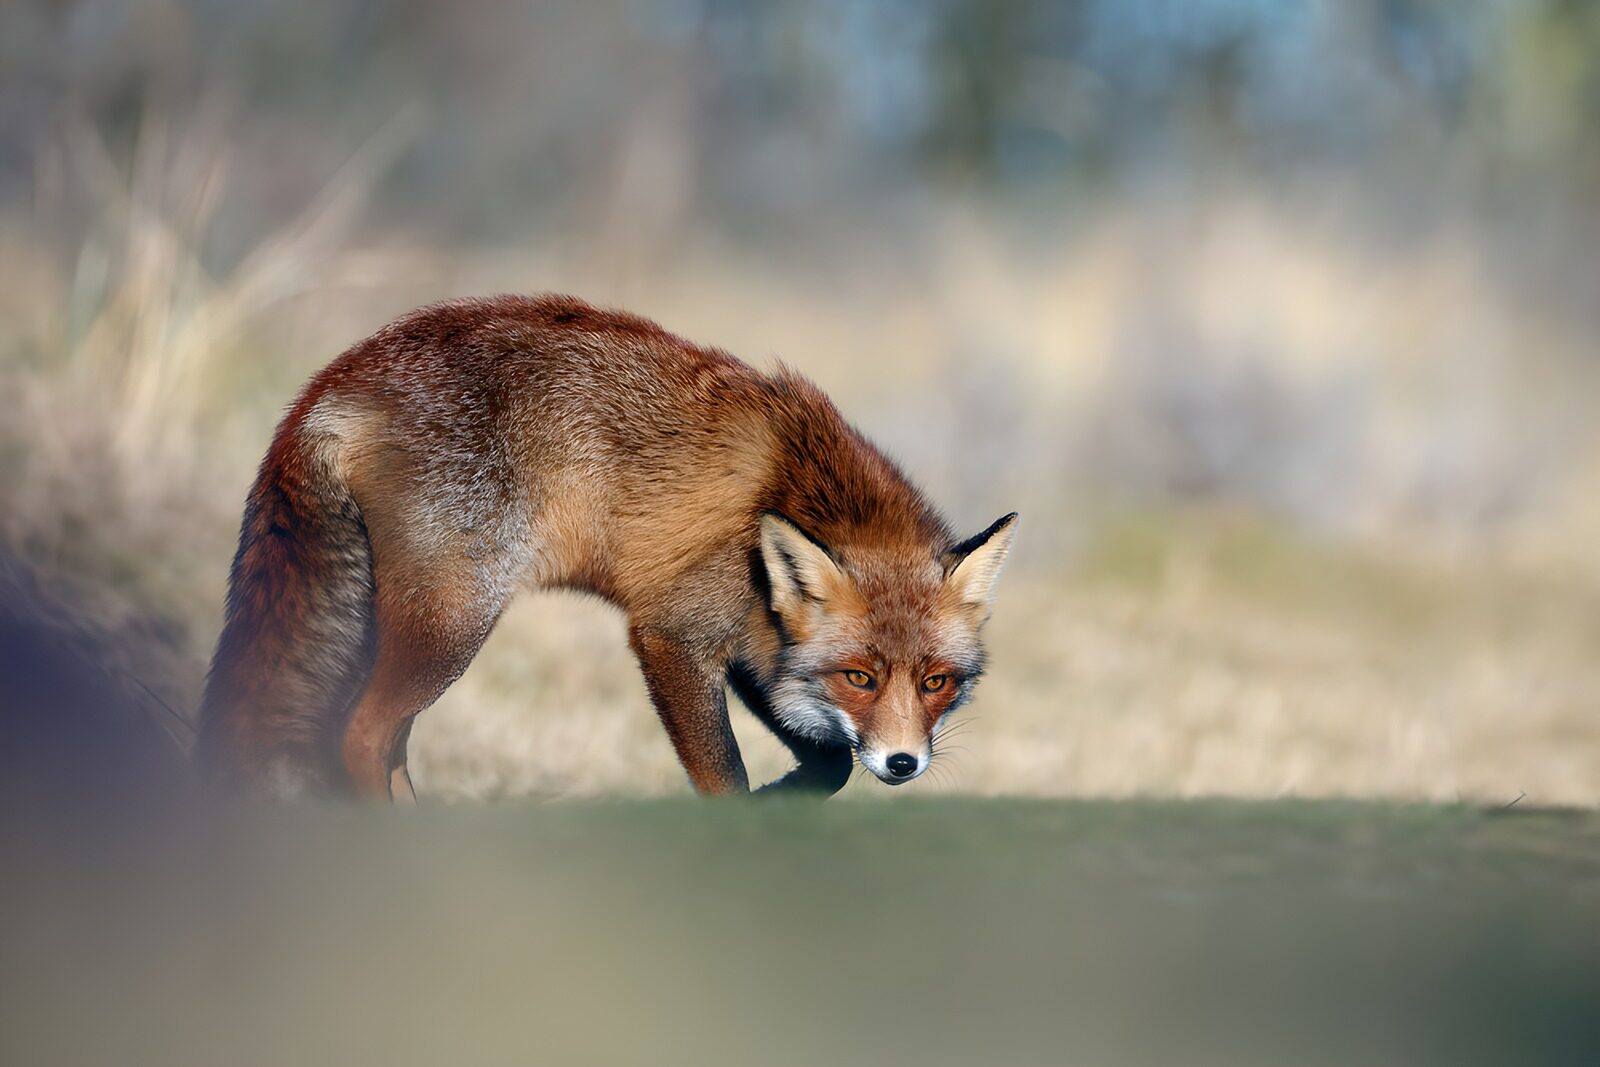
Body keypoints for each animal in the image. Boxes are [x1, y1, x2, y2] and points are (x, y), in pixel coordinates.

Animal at [195, 294, 1016, 800]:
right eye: (859, 677)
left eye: (938, 682)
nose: (905, 763)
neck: (801, 490)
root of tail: (330, 381)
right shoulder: (672, 634)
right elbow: (728, 777)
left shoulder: (757, 647)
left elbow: (831, 764)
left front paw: (784, 798)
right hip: (451, 623)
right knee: (360, 736)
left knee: (379, 742)